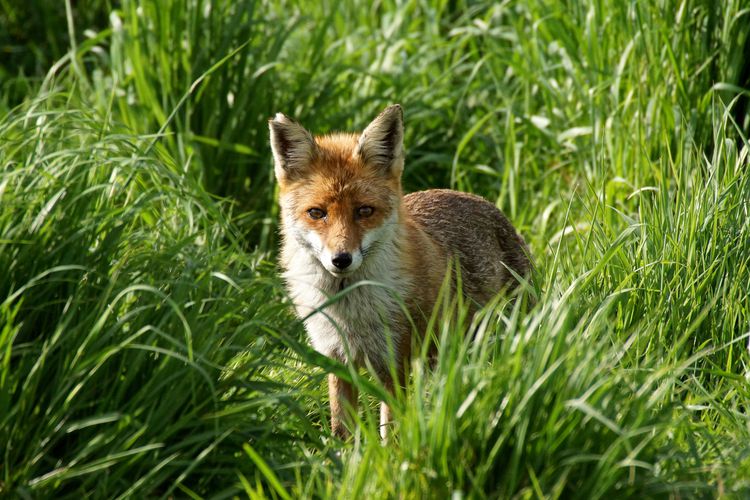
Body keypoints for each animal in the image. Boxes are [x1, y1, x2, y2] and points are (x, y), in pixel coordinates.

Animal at [269, 104, 531, 439]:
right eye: (317, 213)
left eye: (364, 211)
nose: (341, 259)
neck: (351, 313)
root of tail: (482, 201)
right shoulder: (337, 360)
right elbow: (342, 431)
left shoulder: (395, 362)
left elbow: (390, 434)